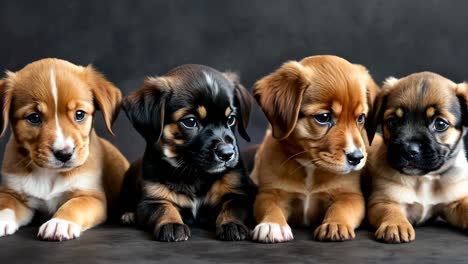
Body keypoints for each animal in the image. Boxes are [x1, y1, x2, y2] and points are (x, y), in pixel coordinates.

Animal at [0, 58, 129, 240]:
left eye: (80, 114)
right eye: (34, 118)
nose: (64, 154)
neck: (49, 174)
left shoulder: (90, 196)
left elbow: (74, 206)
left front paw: (60, 222)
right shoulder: (13, 193)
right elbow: (5, 204)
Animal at [120, 63, 256, 241]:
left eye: (231, 119)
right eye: (190, 122)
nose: (227, 154)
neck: (194, 174)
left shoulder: (238, 194)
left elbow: (233, 208)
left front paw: (232, 224)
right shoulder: (152, 199)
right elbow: (164, 209)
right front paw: (172, 224)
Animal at [250, 55, 378, 243]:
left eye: (360, 118)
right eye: (324, 117)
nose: (357, 158)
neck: (310, 167)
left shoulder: (349, 195)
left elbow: (341, 208)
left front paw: (335, 224)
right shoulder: (270, 193)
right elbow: (270, 207)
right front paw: (272, 225)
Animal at [368, 71, 468, 243]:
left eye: (440, 124)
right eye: (393, 122)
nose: (409, 150)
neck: (425, 179)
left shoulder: (456, 202)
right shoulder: (381, 201)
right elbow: (390, 210)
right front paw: (396, 224)